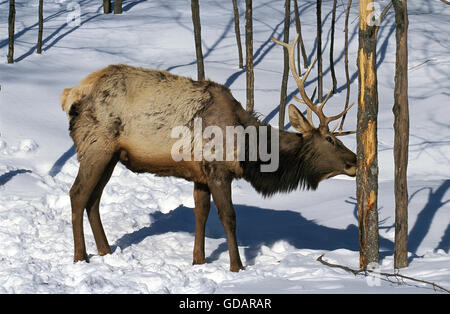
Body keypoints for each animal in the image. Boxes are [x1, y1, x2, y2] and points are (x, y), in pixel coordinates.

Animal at [61, 33, 356, 270]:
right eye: (330, 139)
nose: (354, 160)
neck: (249, 151)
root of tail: (70, 94)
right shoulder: (218, 170)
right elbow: (229, 217)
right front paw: (237, 267)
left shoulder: (200, 174)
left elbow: (200, 214)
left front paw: (198, 260)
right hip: (96, 146)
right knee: (78, 194)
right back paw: (80, 256)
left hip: (110, 156)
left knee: (93, 199)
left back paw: (106, 251)